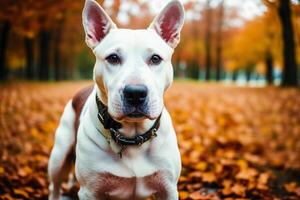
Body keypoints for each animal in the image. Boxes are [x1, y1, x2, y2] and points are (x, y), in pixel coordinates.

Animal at [48, 0, 185, 199]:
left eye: (155, 58)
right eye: (113, 58)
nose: (135, 93)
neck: (132, 135)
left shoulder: (168, 189)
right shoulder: (90, 191)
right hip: (58, 156)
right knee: (55, 185)